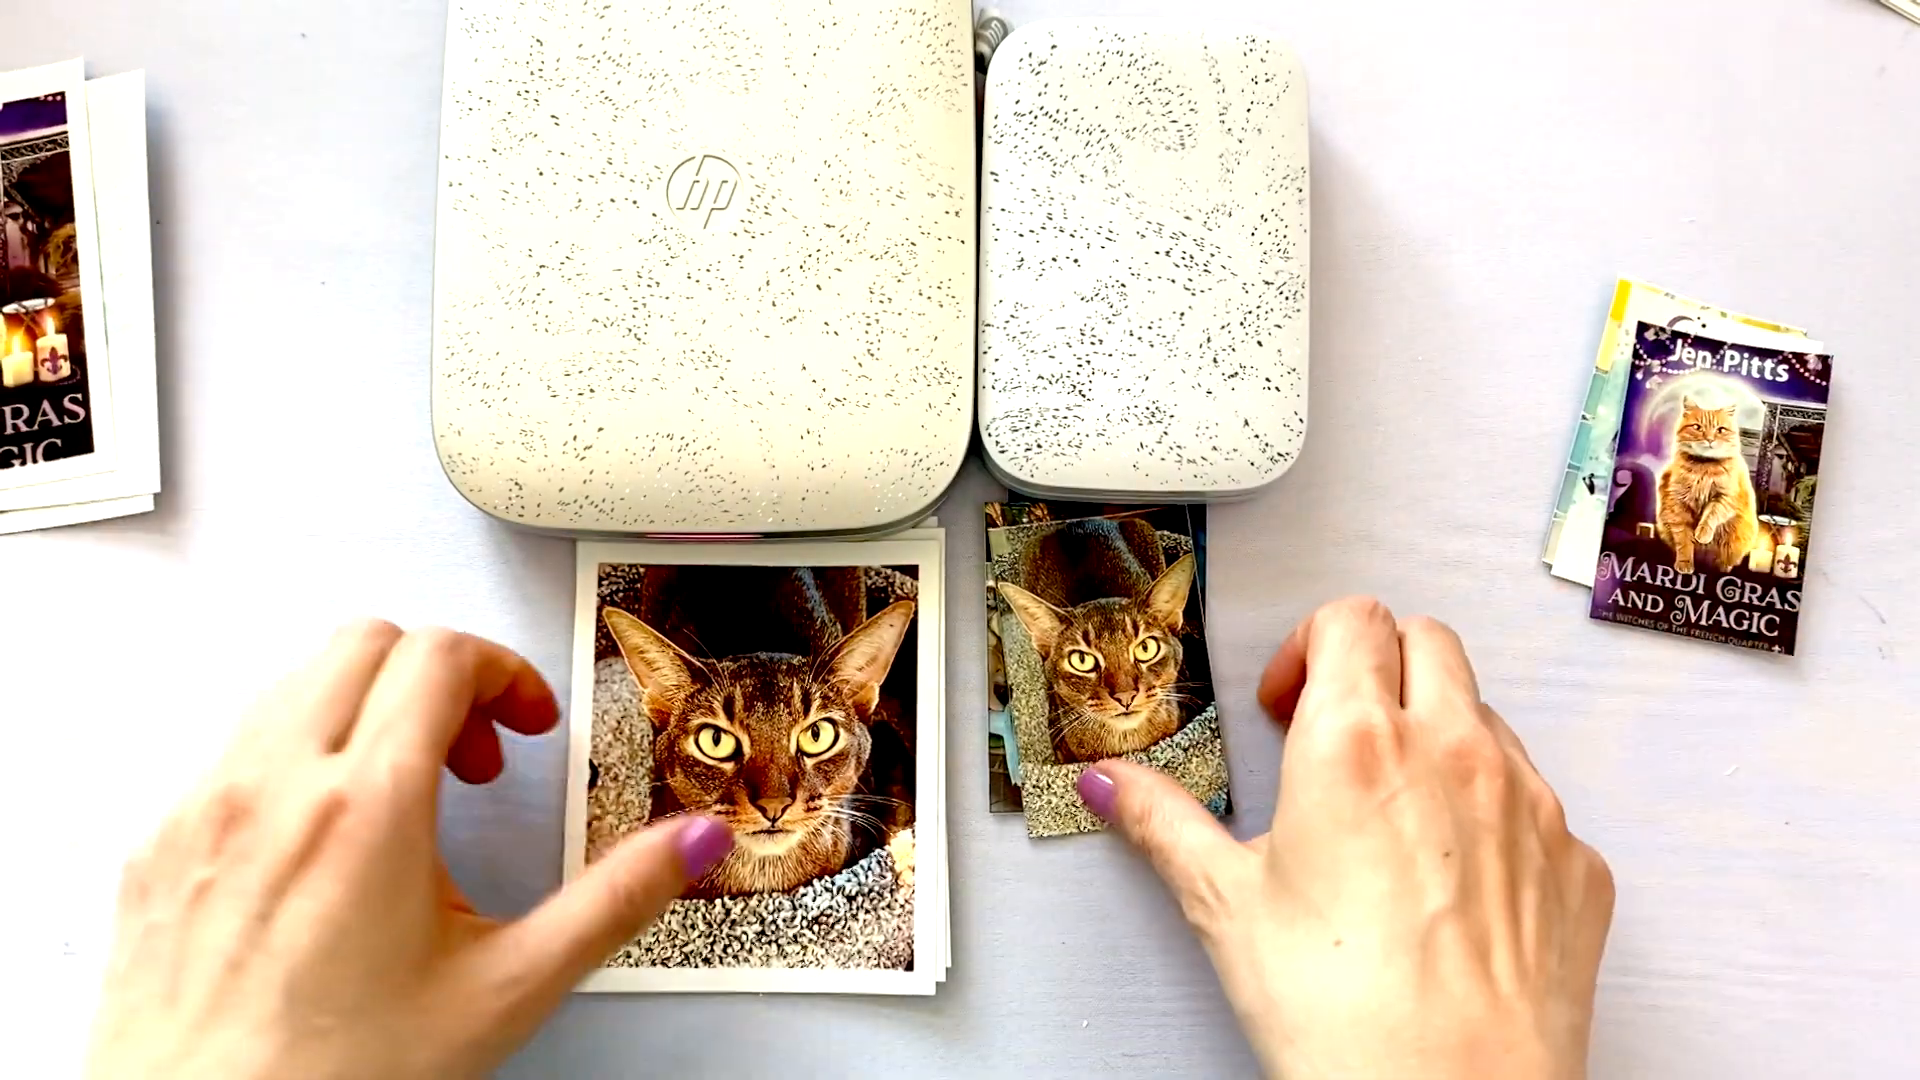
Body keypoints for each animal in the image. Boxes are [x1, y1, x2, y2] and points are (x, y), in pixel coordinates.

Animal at [1657, 397, 1760, 575]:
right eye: (1697, 427)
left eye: (1720, 430)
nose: (1710, 439)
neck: (1703, 469)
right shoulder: (1677, 505)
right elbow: (1683, 541)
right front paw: (1684, 563)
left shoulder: (1725, 498)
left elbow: (1711, 515)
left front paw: (1702, 534)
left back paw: (1723, 567)